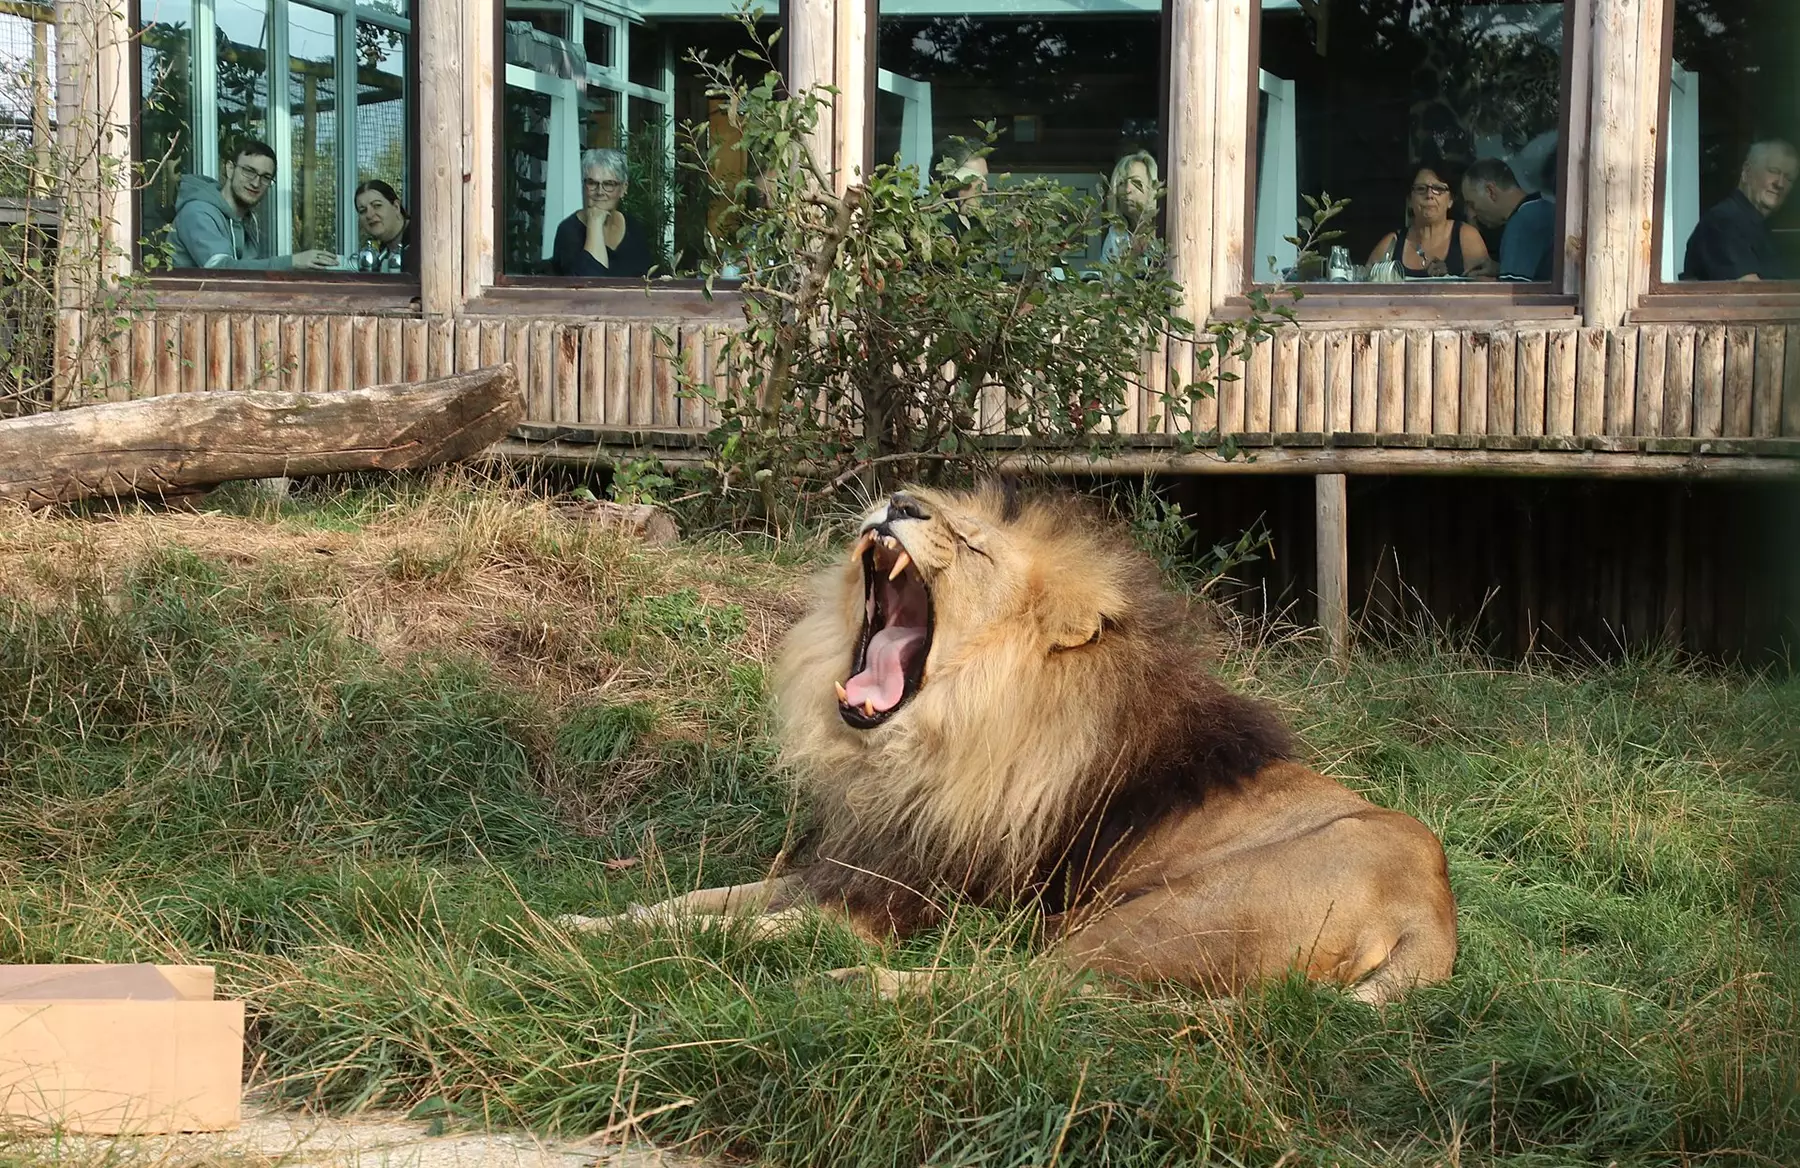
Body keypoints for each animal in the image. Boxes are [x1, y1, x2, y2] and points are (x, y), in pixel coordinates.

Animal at [563, 484, 1457, 1005]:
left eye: (973, 544)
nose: (900, 502)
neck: (914, 742)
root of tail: (1435, 922)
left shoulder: (904, 901)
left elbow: (739, 929)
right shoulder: (855, 864)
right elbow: (692, 903)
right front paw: (586, 922)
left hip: (1157, 921)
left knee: (1026, 990)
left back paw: (853, 985)